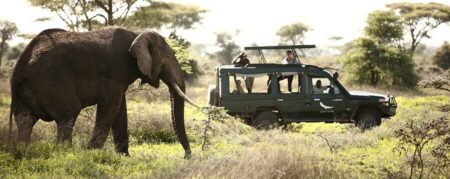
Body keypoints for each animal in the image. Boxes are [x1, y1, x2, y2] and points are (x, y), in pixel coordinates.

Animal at [8, 26, 198, 158]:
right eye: (168, 57)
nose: (186, 156)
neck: (136, 33)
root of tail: (18, 69)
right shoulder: (115, 71)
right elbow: (110, 107)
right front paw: (91, 154)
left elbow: (120, 110)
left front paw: (125, 158)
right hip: (52, 80)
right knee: (68, 114)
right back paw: (66, 155)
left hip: (25, 90)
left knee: (25, 120)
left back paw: (23, 153)